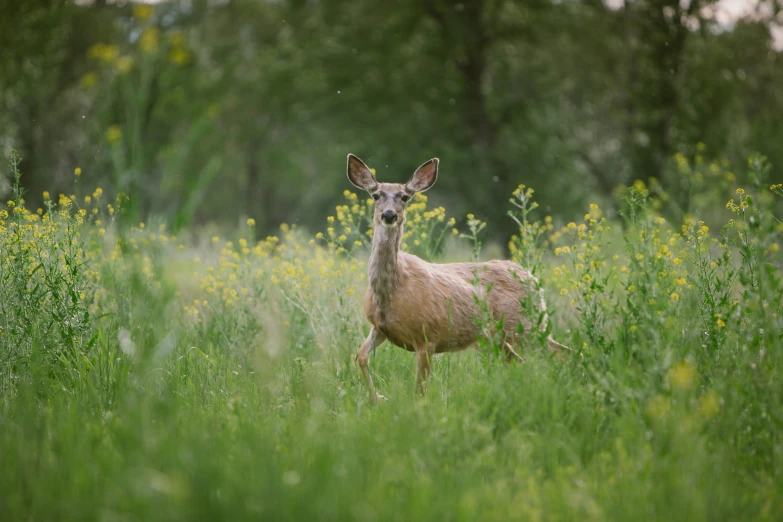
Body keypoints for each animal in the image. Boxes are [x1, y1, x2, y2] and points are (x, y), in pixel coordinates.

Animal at [350, 152, 568, 400]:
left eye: (405, 197)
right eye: (376, 195)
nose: (389, 215)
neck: (393, 290)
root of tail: (534, 280)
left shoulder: (427, 335)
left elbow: (419, 390)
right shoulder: (379, 328)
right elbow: (360, 356)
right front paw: (378, 398)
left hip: (526, 326)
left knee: (564, 354)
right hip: (498, 336)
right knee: (519, 361)